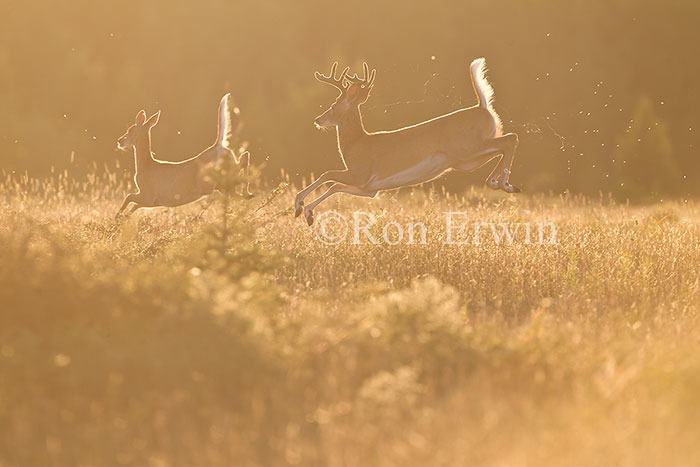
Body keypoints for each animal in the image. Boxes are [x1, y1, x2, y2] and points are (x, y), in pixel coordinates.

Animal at [116, 96, 253, 220]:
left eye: (130, 130)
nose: (119, 141)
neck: (146, 165)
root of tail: (218, 146)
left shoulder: (148, 195)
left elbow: (128, 197)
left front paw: (117, 217)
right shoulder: (152, 201)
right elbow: (133, 206)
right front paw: (122, 218)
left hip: (209, 181)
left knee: (241, 165)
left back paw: (248, 193)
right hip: (222, 183)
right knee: (240, 177)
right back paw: (249, 194)